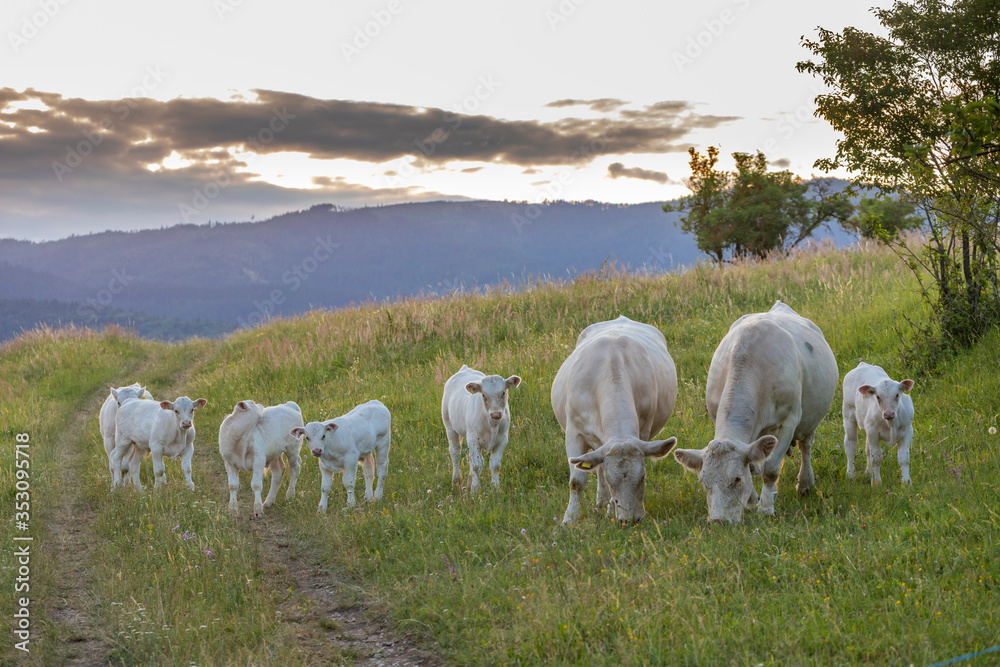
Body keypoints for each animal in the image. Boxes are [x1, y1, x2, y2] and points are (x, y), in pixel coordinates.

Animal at [441, 365, 521, 494]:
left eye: (503, 393)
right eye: (483, 395)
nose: (495, 414)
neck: (492, 425)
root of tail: (465, 369)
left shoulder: (502, 439)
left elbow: (495, 465)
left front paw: (495, 488)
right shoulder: (473, 439)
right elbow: (477, 466)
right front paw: (475, 490)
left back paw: (469, 481)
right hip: (449, 424)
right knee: (455, 453)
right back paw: (456, 481)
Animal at [551, 316, 678, 524]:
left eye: (642, 477)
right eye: (613, 482)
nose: (630, 520)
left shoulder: (643, 431)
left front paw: (611, 511)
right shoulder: (574, 434)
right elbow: (577, 481)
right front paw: (569, 519)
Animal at [673, 301, 838, 523]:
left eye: (736, 479)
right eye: (704, 481)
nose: (718, 520)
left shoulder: (788, 422)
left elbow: (770, 469)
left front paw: (766, 508)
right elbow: (752, 466)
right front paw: (752, 503)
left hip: (809, 421)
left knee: (806, 447)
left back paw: (804, 483)